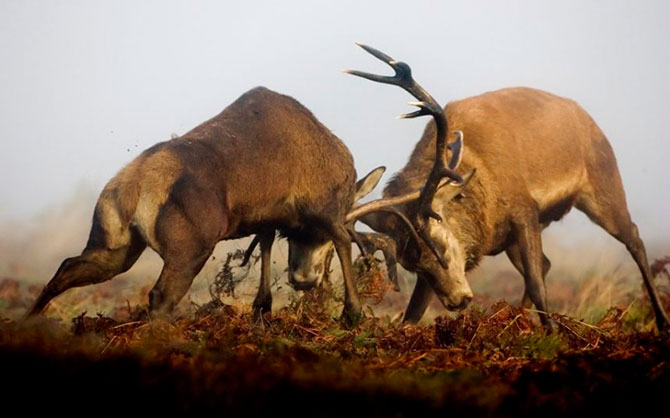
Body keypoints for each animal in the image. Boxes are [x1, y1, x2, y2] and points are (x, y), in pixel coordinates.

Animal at [28, 85, 418, 324]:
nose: (305, 280)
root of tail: (134, 186)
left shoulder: (269, 217)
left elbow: (265, 244)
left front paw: (262, 310)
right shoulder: (325, 209)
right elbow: (343, 240)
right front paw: (352, 314)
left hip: (114, 247)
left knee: (65, 269)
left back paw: (30, 323)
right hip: (191, 248)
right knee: (160, 296)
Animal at [296, 42, 670, 330]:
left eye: (440, 246)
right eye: (411, 264)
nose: (458, 301)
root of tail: (585, 116)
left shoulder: (524, 209)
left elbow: (538, 284)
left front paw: (553, 334)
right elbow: (411, 314)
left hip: (602, 182)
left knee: (633, 238)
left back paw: (661, 319)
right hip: (518, 237)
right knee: (549, 263)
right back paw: (516, 319)